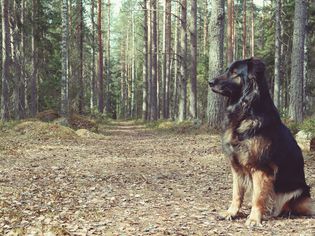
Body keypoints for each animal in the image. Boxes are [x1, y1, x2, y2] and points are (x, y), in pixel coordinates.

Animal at [210, 57, 315, 227]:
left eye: (234, 72)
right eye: (227, 70)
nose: (210, 82)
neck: (245, 112)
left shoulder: (260, 168)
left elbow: (258, 197)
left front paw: (254, 218)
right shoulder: (236, 168)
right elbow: (236, 194)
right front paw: (231, 212)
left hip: (297, 194)